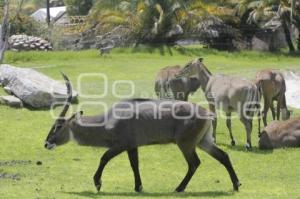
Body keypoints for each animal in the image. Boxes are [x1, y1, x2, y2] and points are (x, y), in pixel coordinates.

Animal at [44, 73, 241, 193]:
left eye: (58, 126)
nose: (47, 143)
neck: (109, 119)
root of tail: (207, 113)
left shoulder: (121, 144)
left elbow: (104, 158)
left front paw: (98, 183)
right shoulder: (132, 146)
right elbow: (135, 165)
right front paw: (138, 187)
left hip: (186, 144)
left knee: (194, 163)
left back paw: (179, 188)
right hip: (203, 142)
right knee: (223, 156)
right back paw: (236, 184)